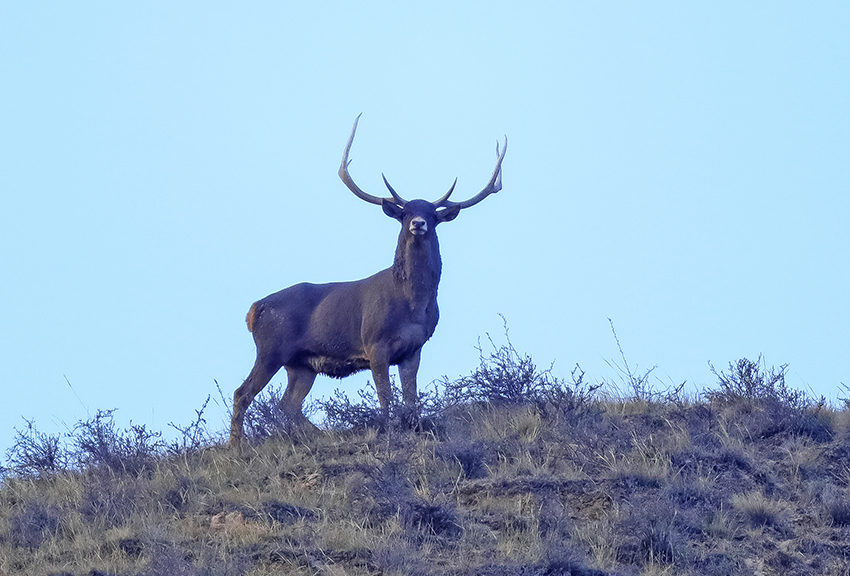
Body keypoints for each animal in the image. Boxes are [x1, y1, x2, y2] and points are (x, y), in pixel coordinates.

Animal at [227, 113, 504, 446]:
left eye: (432, 215)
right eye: (405, 213)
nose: (418, 223)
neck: (412, 305)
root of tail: (253, 310)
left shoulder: (414, 349)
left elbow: (410, 401)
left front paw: (410, 427)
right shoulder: (374, 344)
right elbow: (386, 398)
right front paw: (389, 430)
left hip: (301, 363)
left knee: (288, 404)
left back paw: (318, 434)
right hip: (270, 348)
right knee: (242, 393)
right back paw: (235, 445)